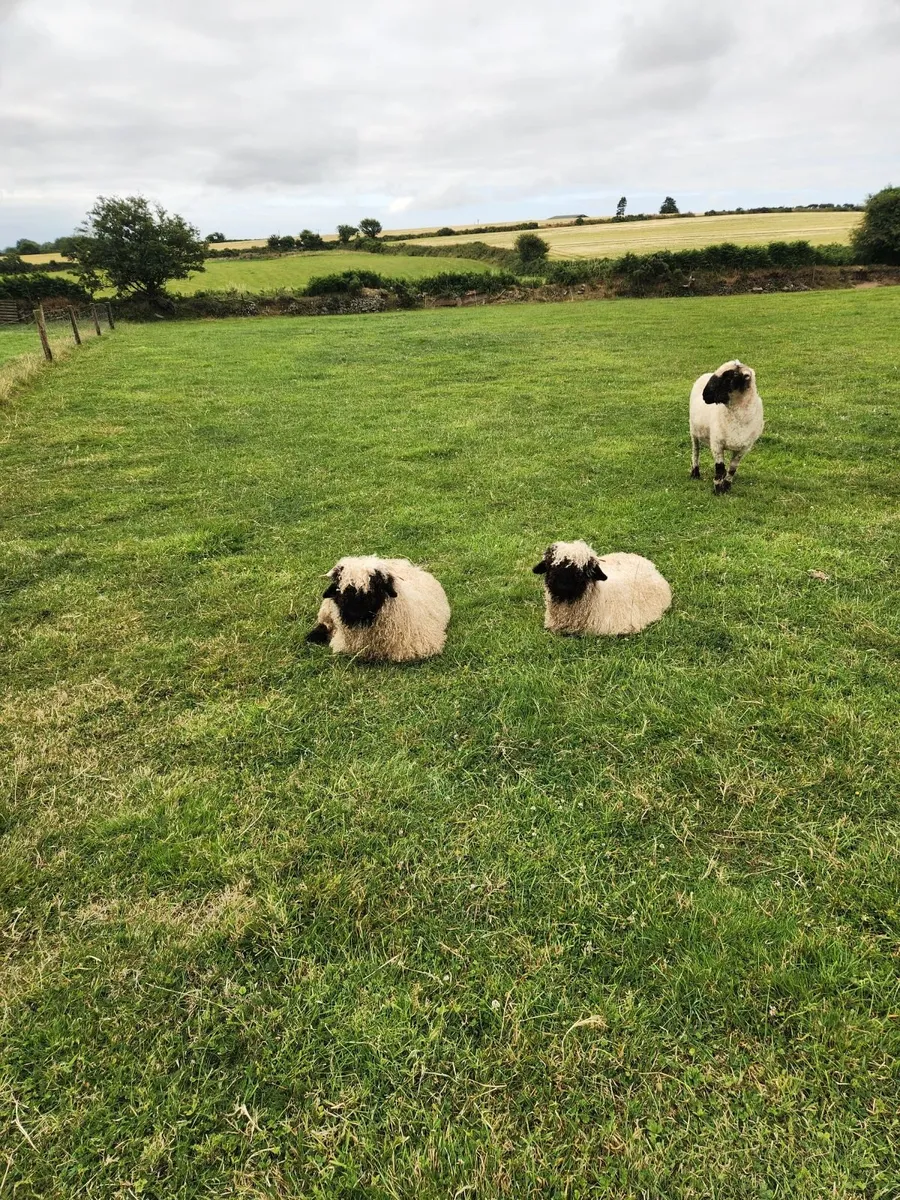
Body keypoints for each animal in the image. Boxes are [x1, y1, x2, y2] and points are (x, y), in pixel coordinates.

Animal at [690, 359, 764, 493]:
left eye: (729, 378)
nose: (705, 396)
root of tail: (705, 374)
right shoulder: (716, 444)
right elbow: (719, 468)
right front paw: (718, 489)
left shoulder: (744, 448)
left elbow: (732, 468)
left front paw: (727, 486)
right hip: (693, 430)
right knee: (696, 451)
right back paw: (695, 473)